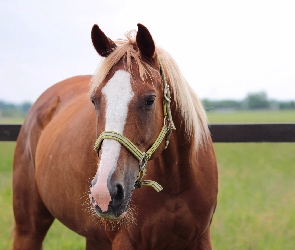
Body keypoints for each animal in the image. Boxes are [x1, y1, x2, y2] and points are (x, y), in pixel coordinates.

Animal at [12, 23, 219, 250]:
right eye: (94, 100)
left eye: (149, 100)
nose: (105, 192)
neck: (176, 183)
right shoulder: (125, 241)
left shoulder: (201, 238)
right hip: (28, 229)